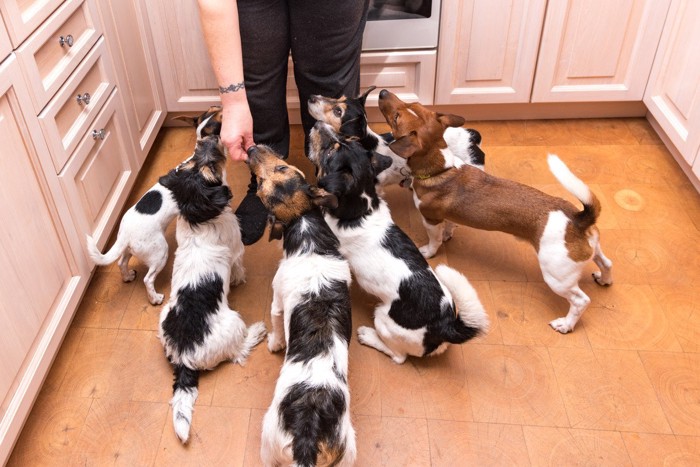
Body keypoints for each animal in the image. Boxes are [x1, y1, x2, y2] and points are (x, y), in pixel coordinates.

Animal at [157, 136, 266, 446]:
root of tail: (184, 358)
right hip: (234, 323)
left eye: (191, 159)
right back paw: (256, 332)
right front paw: (240, 280)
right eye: (212, 168)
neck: (198, 219)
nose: (210, 138)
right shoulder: (237, 249)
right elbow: (238, 267)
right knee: (238, 352)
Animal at [247, 146, 358, 467]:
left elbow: (275, 328)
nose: (251, 148)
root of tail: (307, 437)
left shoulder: (276, 303)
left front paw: (274, 344)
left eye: (282, 168)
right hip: (349, 447)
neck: (304, 224)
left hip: (267, 437)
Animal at [308, 123, 490, 366]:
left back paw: (368, 336)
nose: (318, 124)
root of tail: (446, 325)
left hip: (384, 320)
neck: (361, 210)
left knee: (398, 356)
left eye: (330, 151)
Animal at [378, 89, 612, 334]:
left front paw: (429, 250)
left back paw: (565, 324)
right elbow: (450, 225)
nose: (383, 92)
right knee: (606, 263)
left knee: (580, 300)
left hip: (556, 275)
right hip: (591, 252)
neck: (442, 167)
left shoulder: (431, 219)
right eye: (411, 103)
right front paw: (449, 233)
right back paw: (604, 279)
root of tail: (579, 219)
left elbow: (434, 240)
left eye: (396, 117)